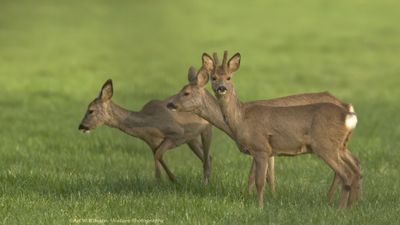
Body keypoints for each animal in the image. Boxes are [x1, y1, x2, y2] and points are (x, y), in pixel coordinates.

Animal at [79, 79, 216, 185]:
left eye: (91, 110)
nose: (81, 126)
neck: (149, 126)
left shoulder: (177, 133)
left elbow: (158, 156)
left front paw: (174, 179)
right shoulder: (153, 144)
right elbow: (157, 164)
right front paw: (159, 184)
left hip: (206, 129)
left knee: (207, 157)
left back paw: (205, 183)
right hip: (192, 139)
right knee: (208, 156)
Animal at [167, 65, 360, 204]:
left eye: (186, 93)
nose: (170, 104)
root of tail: (347, 107)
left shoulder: (260, 147)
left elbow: (256, 176)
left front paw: (249, 198)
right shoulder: (269, 150)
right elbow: (268, 176)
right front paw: (271, 198)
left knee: (343, 170)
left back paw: (330, 200)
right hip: (343, 145)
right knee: (355, 164)